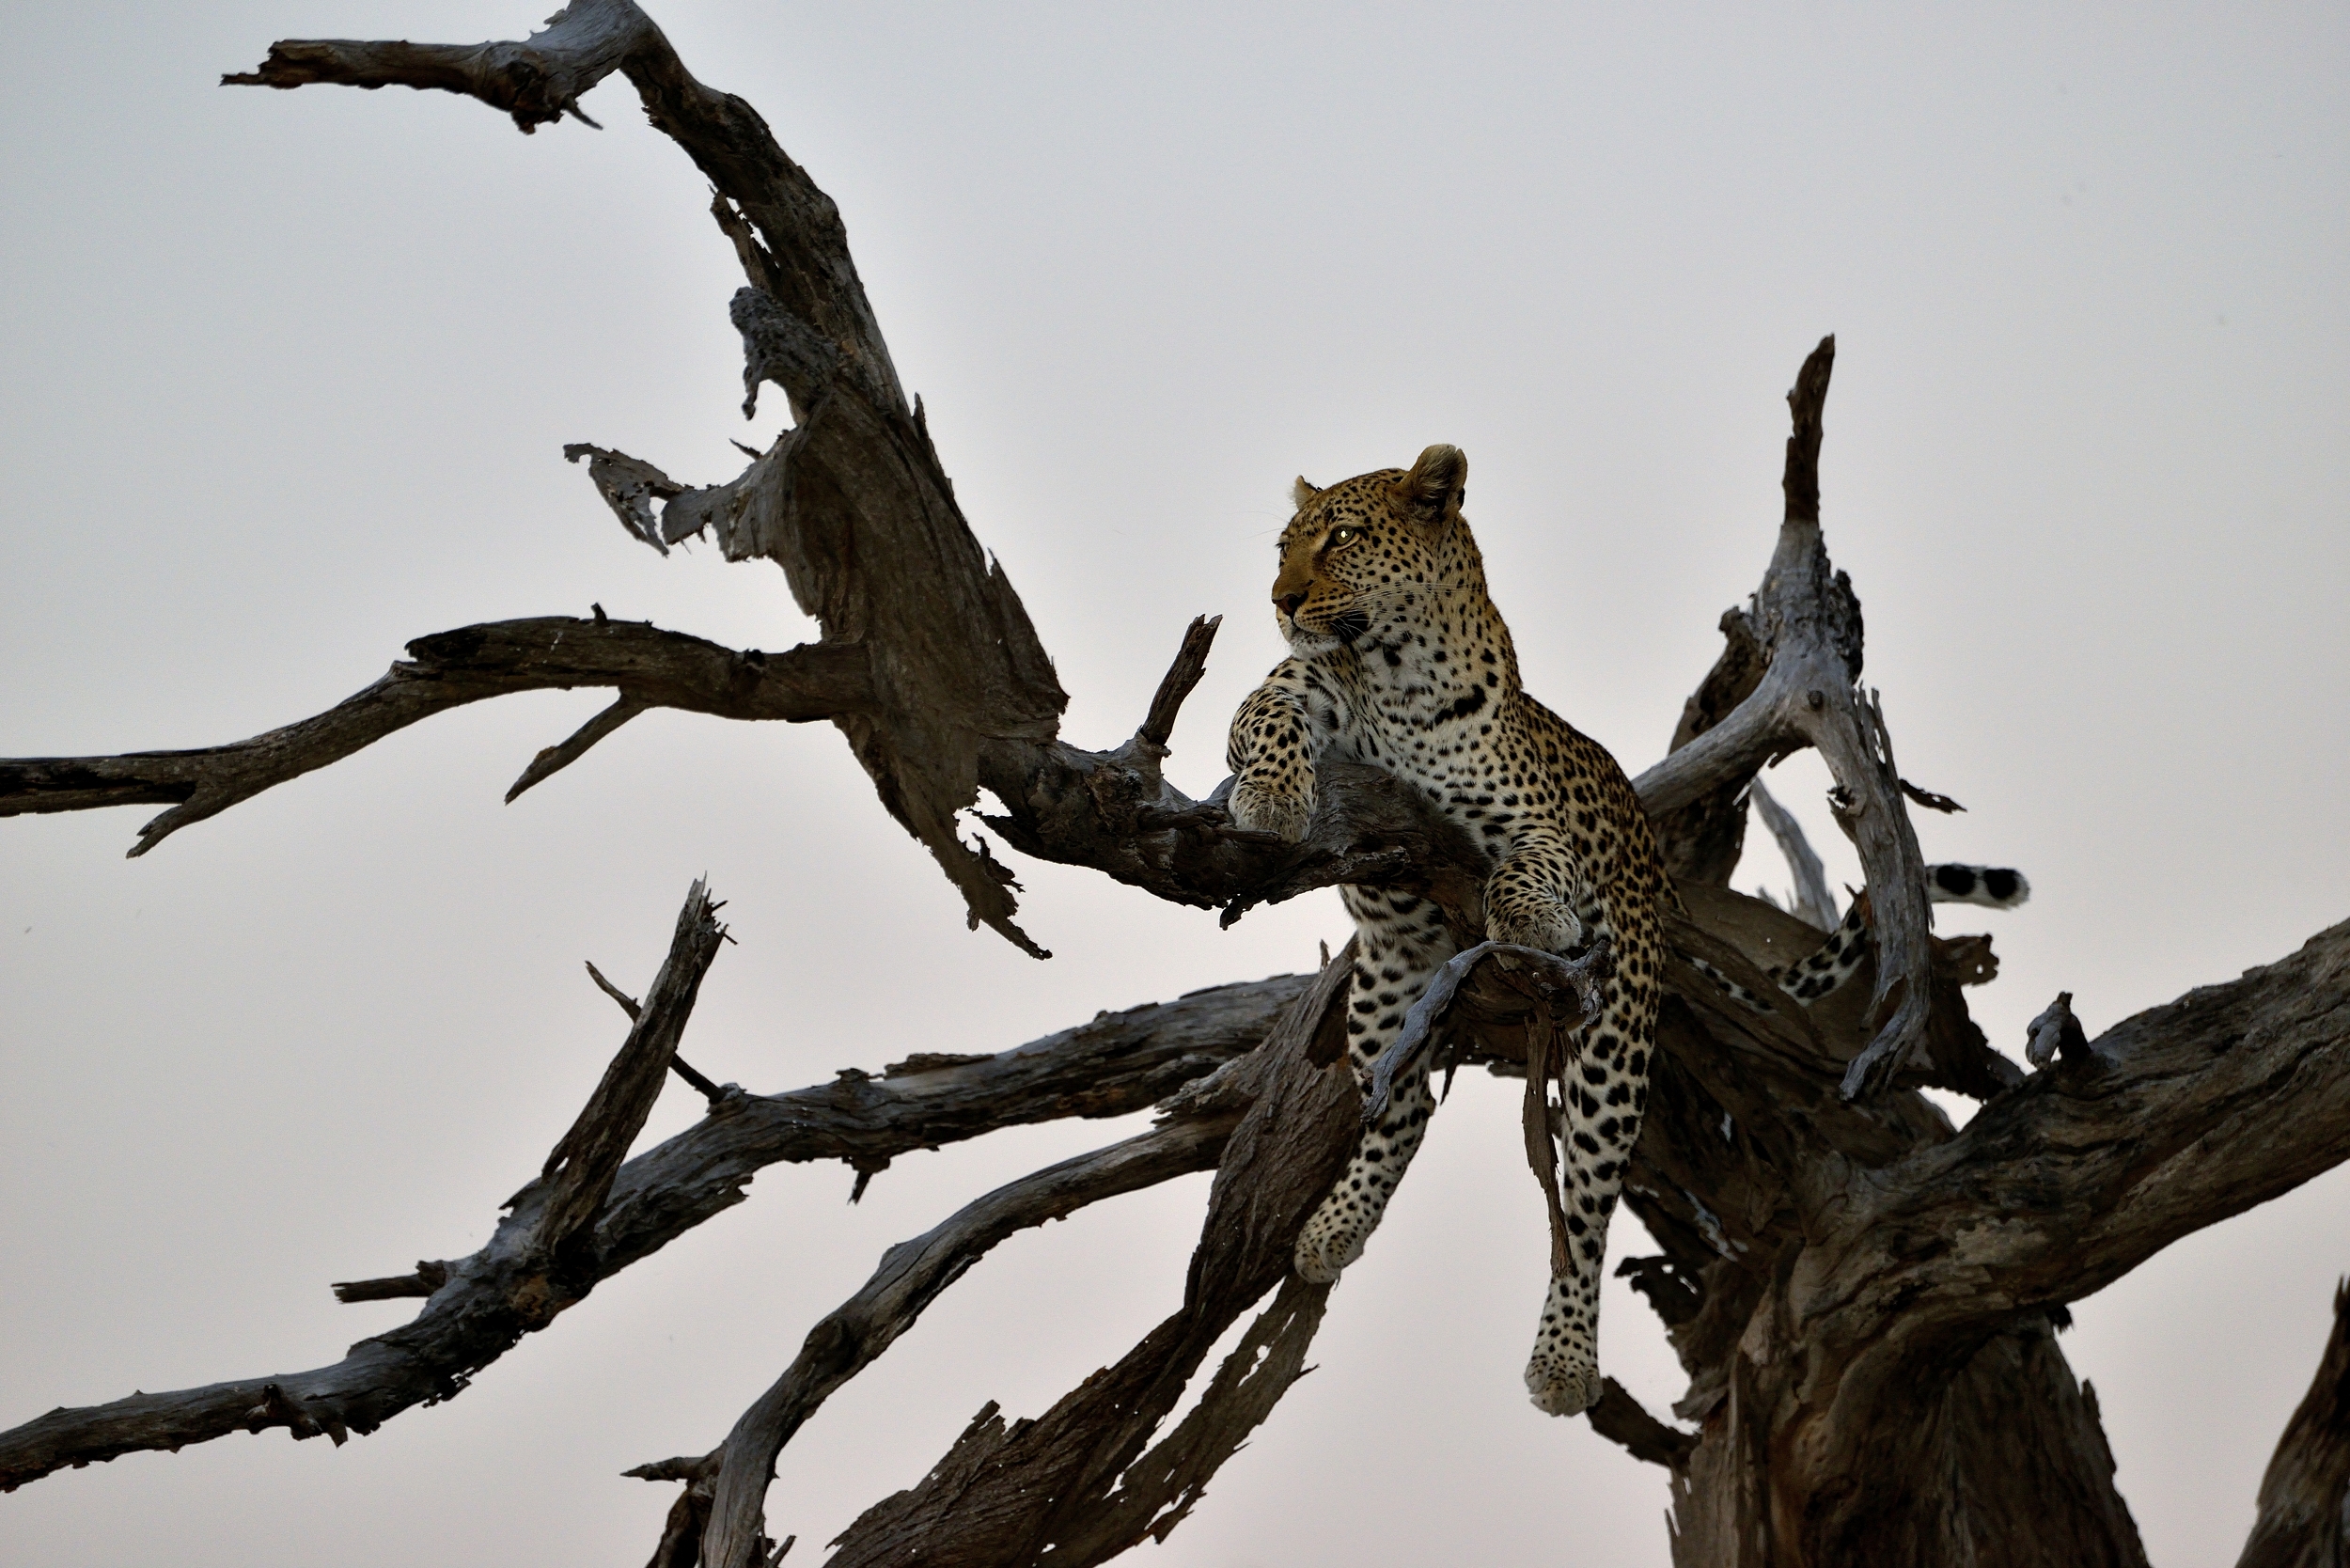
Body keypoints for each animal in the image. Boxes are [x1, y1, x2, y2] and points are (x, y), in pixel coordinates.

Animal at [1224, 443, 1667, 1418]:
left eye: (1343, 538)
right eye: (1283, 544)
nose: (1279, 598)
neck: (1401, 671)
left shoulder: (1532, 821)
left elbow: (1528, 864)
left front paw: (1534, 913)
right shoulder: (1288, 690)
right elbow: (1265, 715)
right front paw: (1272, 796)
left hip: (1617, 1046)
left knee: (1585, 1211)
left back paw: (1564, 1361)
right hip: (1384, 988)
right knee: (1406, 1105)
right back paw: (1333, 1228)